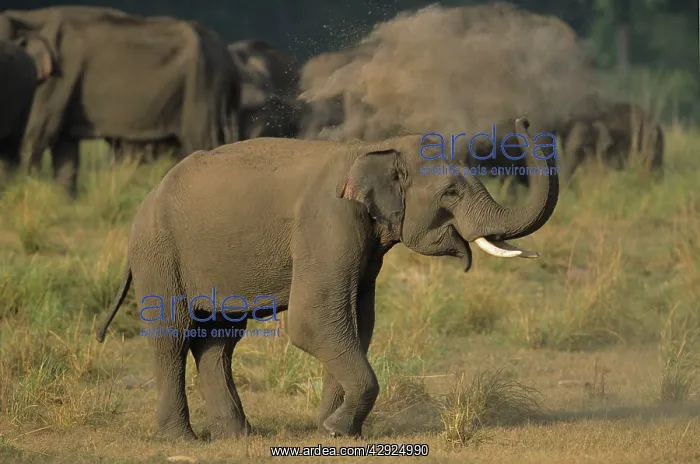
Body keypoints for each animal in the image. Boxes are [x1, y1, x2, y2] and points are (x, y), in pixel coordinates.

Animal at [7, 12, 240, 198]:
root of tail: (226, 53)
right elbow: (65, 147)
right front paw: (63, 201)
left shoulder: (56, 81)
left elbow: (37, 134)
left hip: (202, 84)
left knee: (202, 138)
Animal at [95, 117, 558, 440]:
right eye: (451, 193)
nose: (523, 122)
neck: (373, 148)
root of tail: (147, 199)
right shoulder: (329, 221)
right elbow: (313, 321)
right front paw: (336, 429)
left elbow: (356, 321)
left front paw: (334, 428)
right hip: (159, 252)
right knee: (172, 335)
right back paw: (183, 440)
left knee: (218, 339)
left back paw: (237, 436)